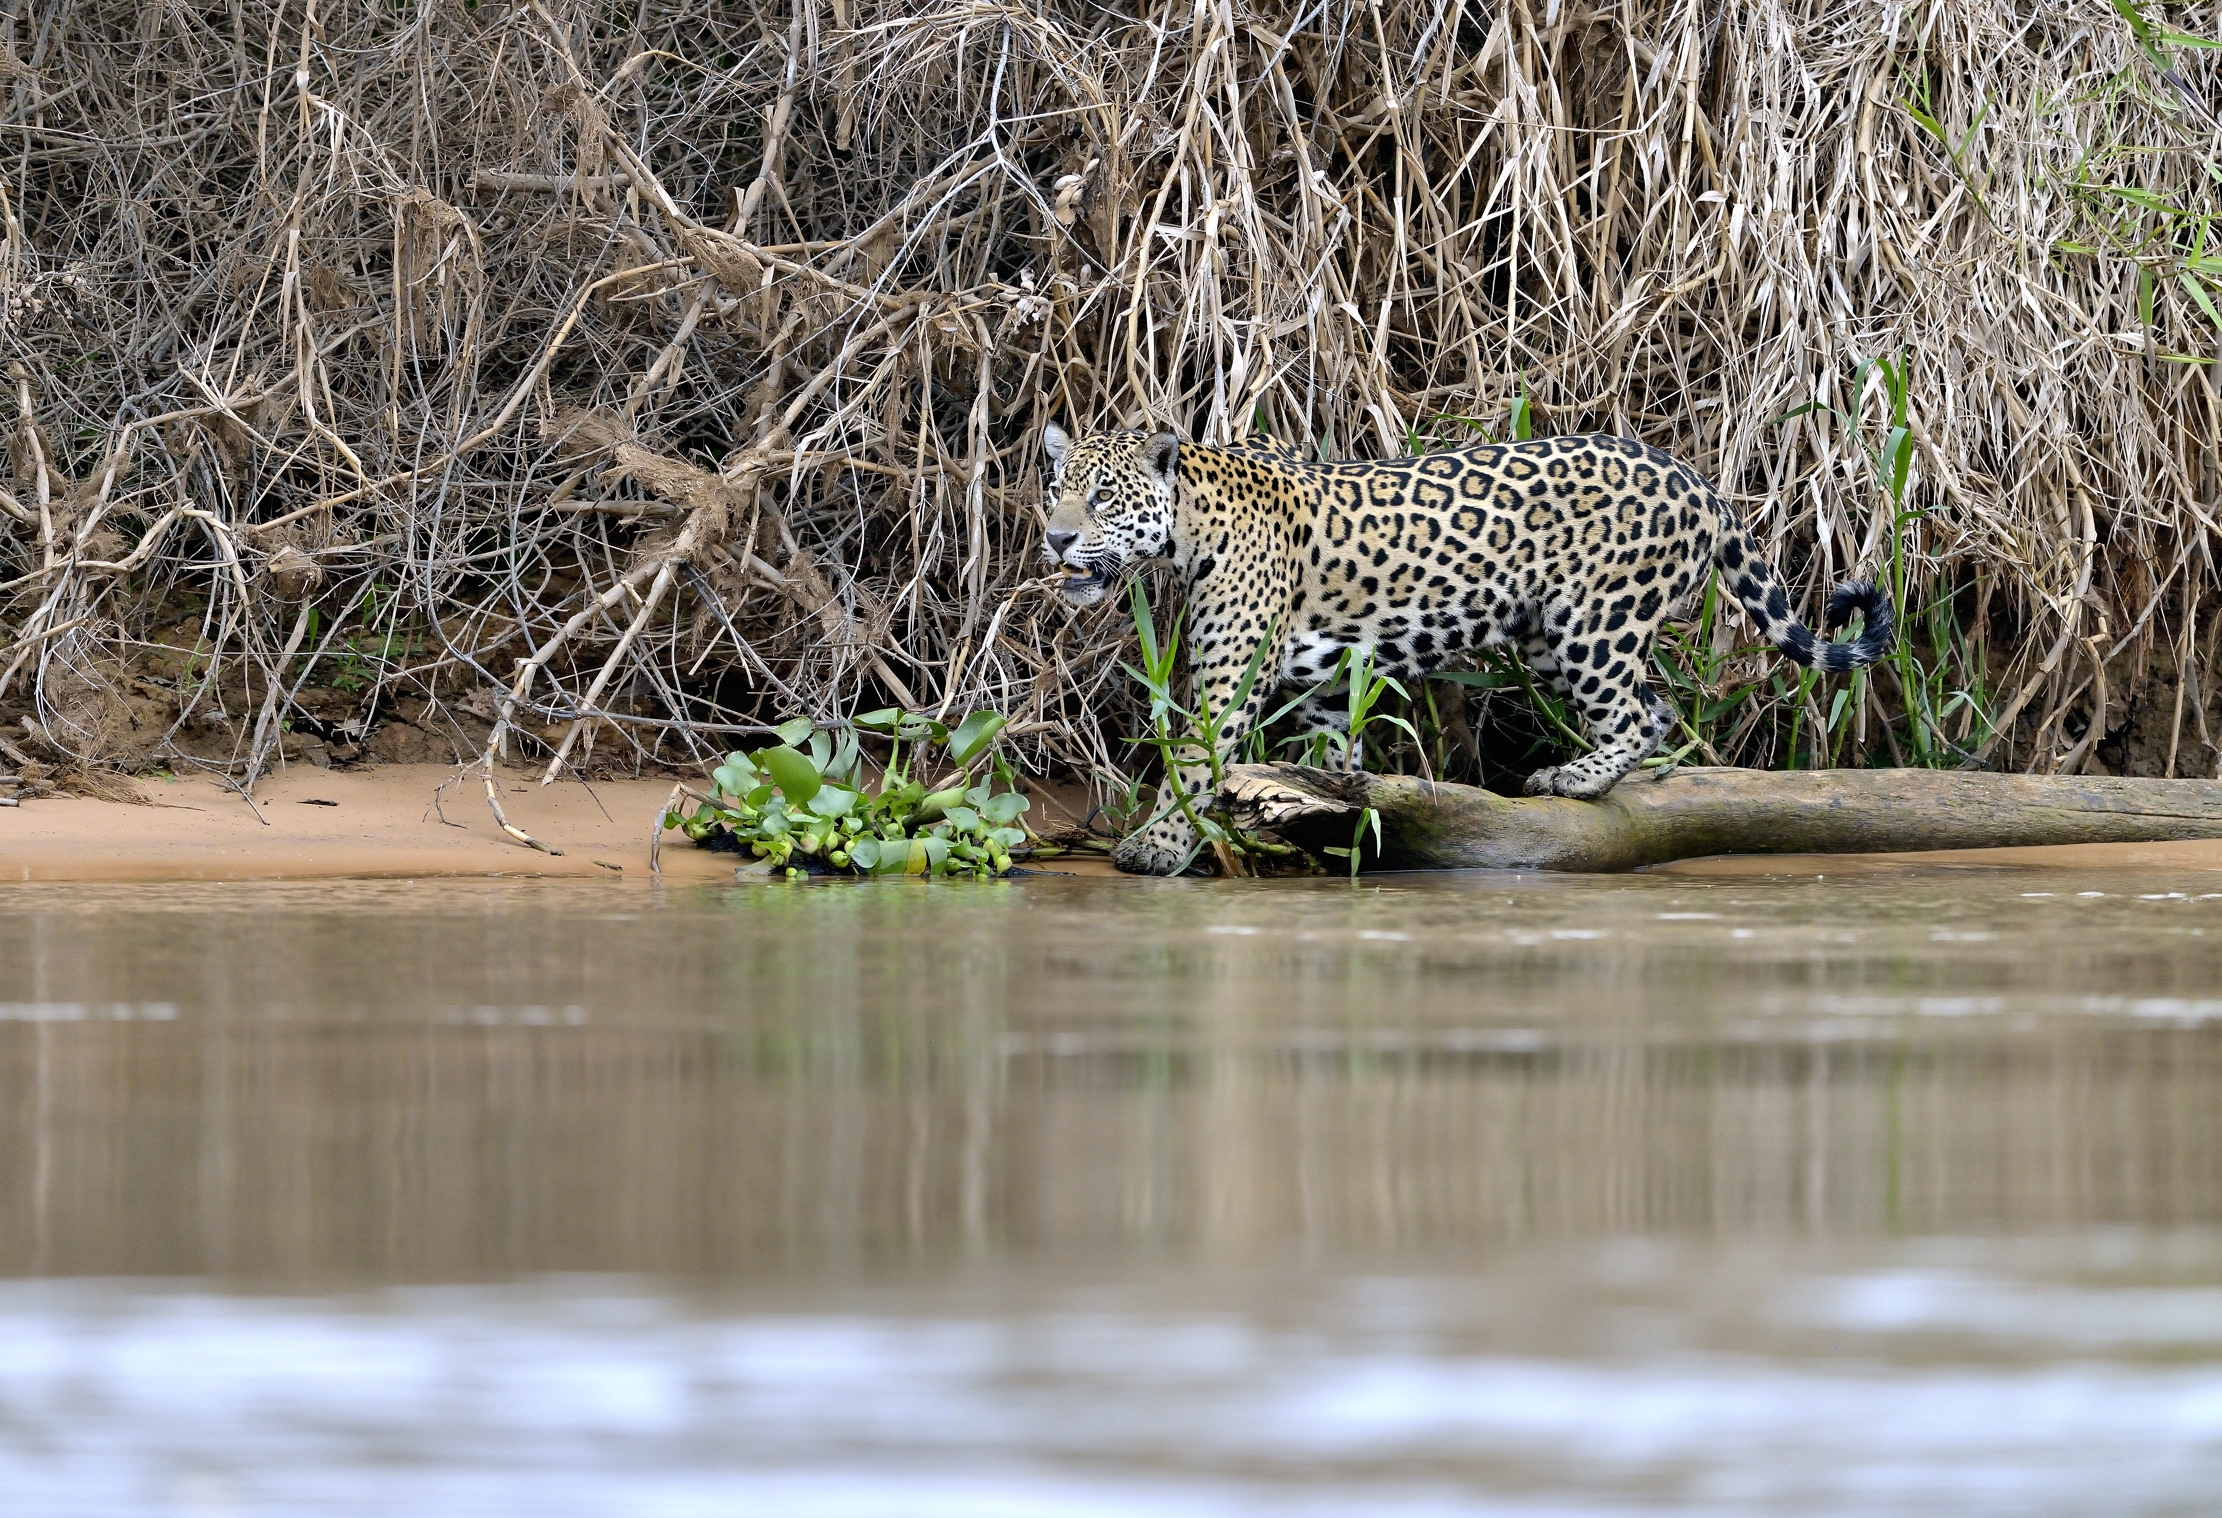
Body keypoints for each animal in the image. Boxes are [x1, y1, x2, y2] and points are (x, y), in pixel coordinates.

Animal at [1040, 423, 1894, 877]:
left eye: (1104, 498)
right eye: (1056, 489)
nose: (1055, 539)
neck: (1188, 530)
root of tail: (1698, 481)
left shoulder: (1229, 681)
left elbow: (1191, 760)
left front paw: (1155, 846)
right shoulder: (1327, 687)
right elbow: (1334, 761)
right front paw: (1338, 824)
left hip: (1592, 622)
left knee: (1639, 711)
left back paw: (1571, 779)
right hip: (1549, 630)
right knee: (1652, 706)